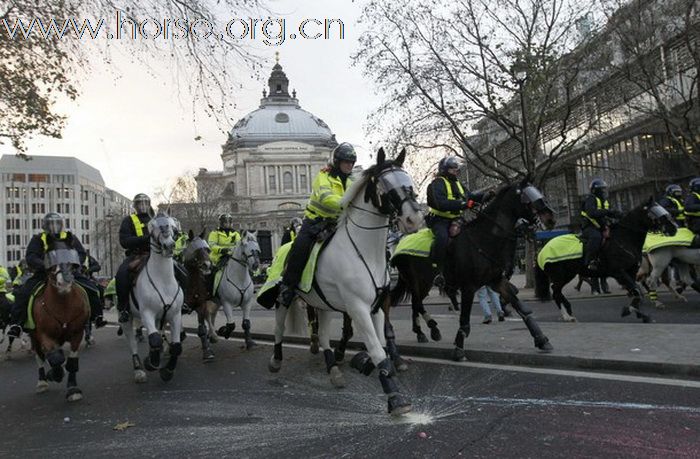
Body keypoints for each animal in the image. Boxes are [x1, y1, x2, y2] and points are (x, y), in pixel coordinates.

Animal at [31, 244, 90, 402]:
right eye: (51, 264)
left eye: (71, 262)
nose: (65, 281)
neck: (63, 305)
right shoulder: (44, 335)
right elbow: (56, 359)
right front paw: (54, 375)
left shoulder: (77, 334)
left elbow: (71, 363)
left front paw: (73, 389)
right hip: (34, 337)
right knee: (40, 357)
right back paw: (42, 382)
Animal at [121, 216, 185, 384]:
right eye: (153, 227)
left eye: (173, 227)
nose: (169, 245)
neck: (162, 280)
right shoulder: (147, 313)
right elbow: (155, 339)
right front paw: (150, 363)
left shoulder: (175, 315)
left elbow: (176, 346)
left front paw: (167, 371)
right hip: (127, 318)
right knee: (133, 343)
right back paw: (139, 370)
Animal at [268, 148, 422, 416]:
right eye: (386, 186)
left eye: (408, 181)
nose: (414, 220)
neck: (364, 251)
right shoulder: (357, 307)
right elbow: (376, 349)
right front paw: (395, 398)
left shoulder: (376, 306)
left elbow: (382, 344)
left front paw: (372, 366)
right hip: (284, 298)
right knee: (279, 327)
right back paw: (276, 360)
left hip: (322, 304)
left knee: (323, 336)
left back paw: (333, 369)